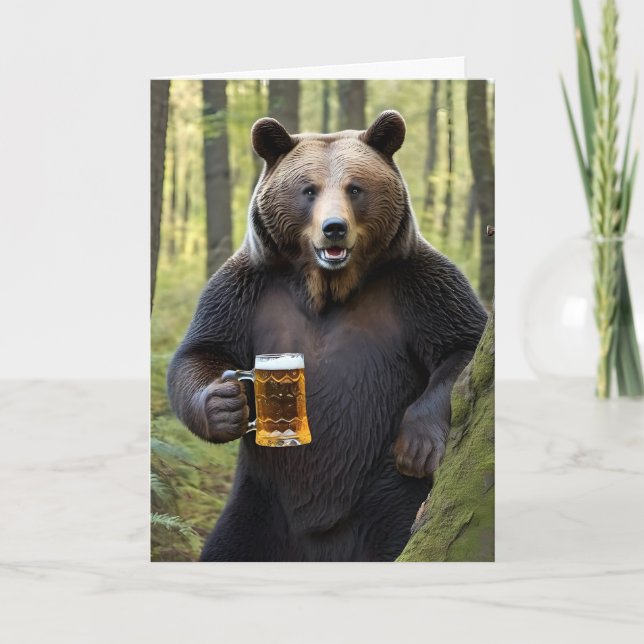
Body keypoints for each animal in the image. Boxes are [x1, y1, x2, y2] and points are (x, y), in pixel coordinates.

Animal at [167, 110, 488, 562]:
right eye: (308, 189)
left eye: (355, 187)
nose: (334, 228)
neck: (328, 286)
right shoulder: (247, 290)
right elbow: (201, 351)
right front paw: (224, 405)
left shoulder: (415, 285)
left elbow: (462, 344)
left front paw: (418, 444)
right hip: (260, 504)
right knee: (229, 544)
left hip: (381, 497)